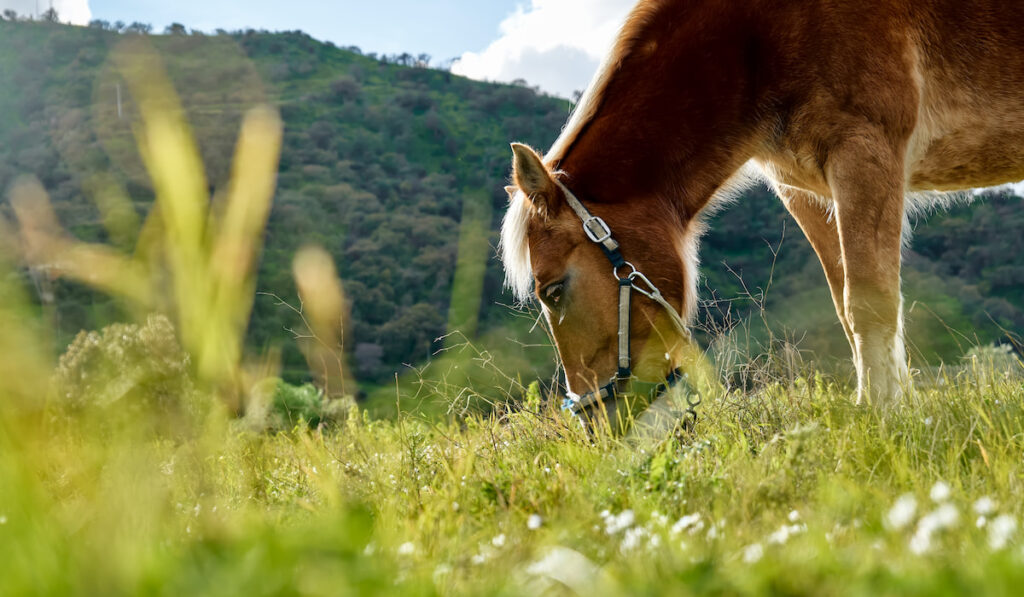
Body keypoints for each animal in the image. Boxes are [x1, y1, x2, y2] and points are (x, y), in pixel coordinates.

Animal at [499, 0, 1024, 419]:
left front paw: (883, 414)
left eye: (554, 291)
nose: (596, 422)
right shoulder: (807, 192)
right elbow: (847, 306)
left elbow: (870, 302)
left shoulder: (865, 153)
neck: (756, 35)